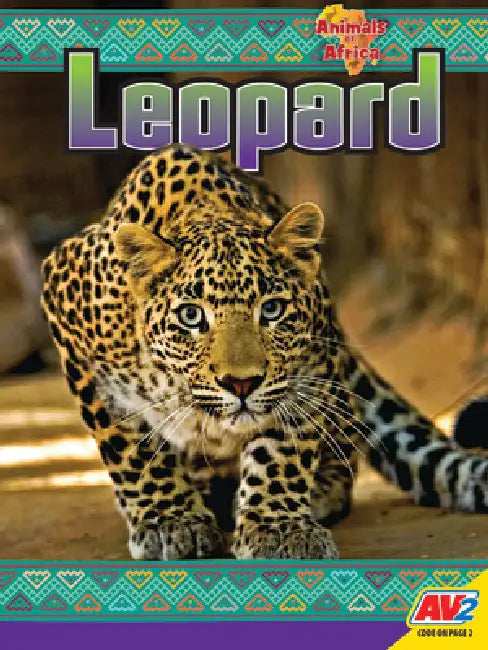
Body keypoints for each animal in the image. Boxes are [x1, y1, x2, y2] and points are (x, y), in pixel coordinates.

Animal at [41, 143, 488, 560]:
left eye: (271, 309)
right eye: (190, 316)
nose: (242, 384)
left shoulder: (309, 367)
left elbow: (281, 450)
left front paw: (277, 528)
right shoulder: (70, 318)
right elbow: (131, 447)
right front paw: (170, 521)